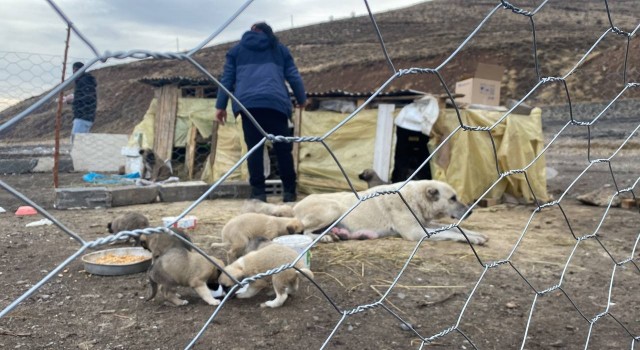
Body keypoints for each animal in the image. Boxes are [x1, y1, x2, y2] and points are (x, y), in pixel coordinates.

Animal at [292, 179, 488, 245]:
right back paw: (325, 237)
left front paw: (476, 234)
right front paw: (474, 239)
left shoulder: (424, 223)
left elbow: (452, 227)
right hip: (333, 208)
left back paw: (337, 234)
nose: (471, 212)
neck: (416, 198)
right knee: (305, 231)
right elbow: (449, 232)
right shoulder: (416, 232)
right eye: (452, 198)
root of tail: (296, 204)